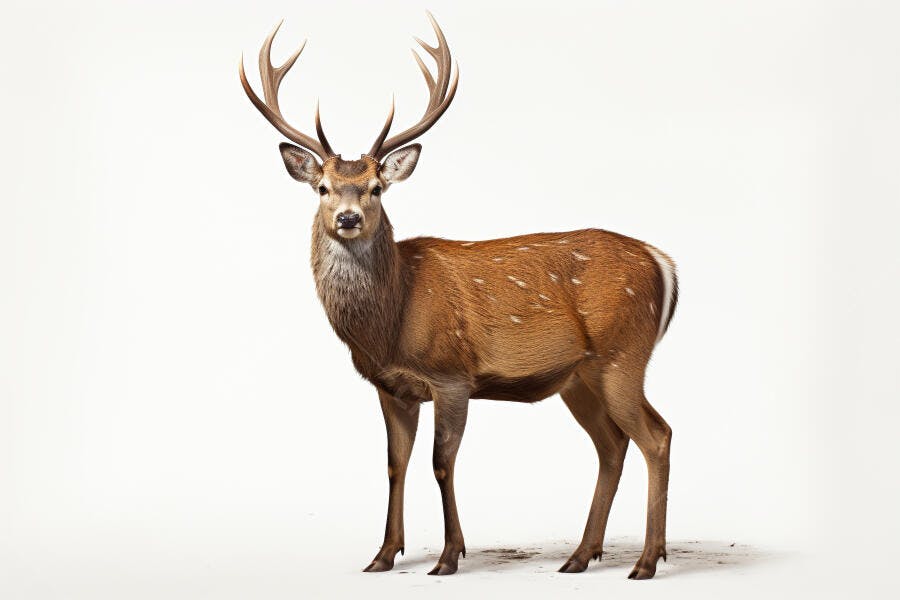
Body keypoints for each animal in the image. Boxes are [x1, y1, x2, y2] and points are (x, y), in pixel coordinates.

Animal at [239, 12, 677, 580]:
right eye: (323, 188)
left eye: (377, 188)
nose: (349, 218)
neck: (388, 325)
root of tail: (663, 263)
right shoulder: (391, 387)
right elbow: (394, 464)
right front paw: (382, 555)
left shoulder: (451, 375)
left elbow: (441, 462)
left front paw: (449, 556)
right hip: (580, 377)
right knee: (612, 444)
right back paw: (582, 556)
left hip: (623, 354)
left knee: (656, 435)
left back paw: (646, 561)